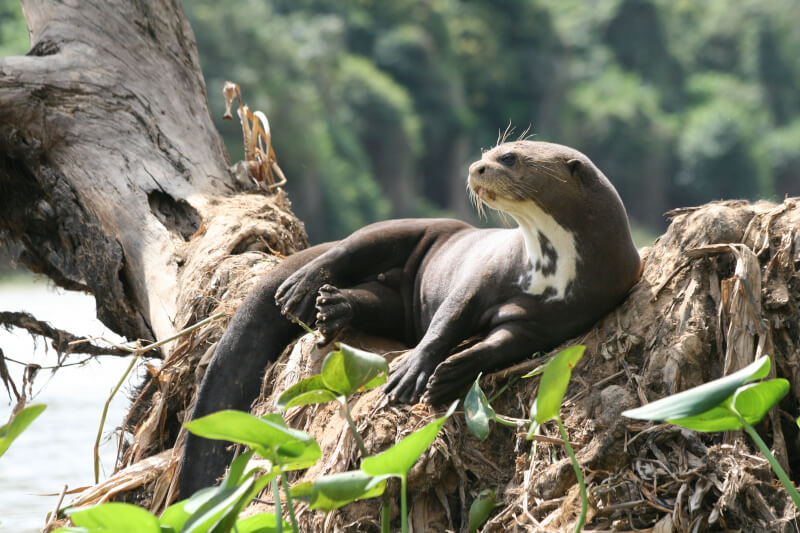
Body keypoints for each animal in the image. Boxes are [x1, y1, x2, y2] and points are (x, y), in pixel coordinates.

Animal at [181, 140, 644, 494]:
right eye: (489, 151)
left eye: (510, 157)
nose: (475, 167)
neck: (552, 271)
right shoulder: (481, 276)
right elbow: (448, 321)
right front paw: (410, 375)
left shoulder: (544, 323)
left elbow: (498, 346)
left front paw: (452, 374)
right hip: (406, 228)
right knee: (345, 250)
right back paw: (299, 289)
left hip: (398, 301)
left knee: (371, 300)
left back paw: (331, 310)